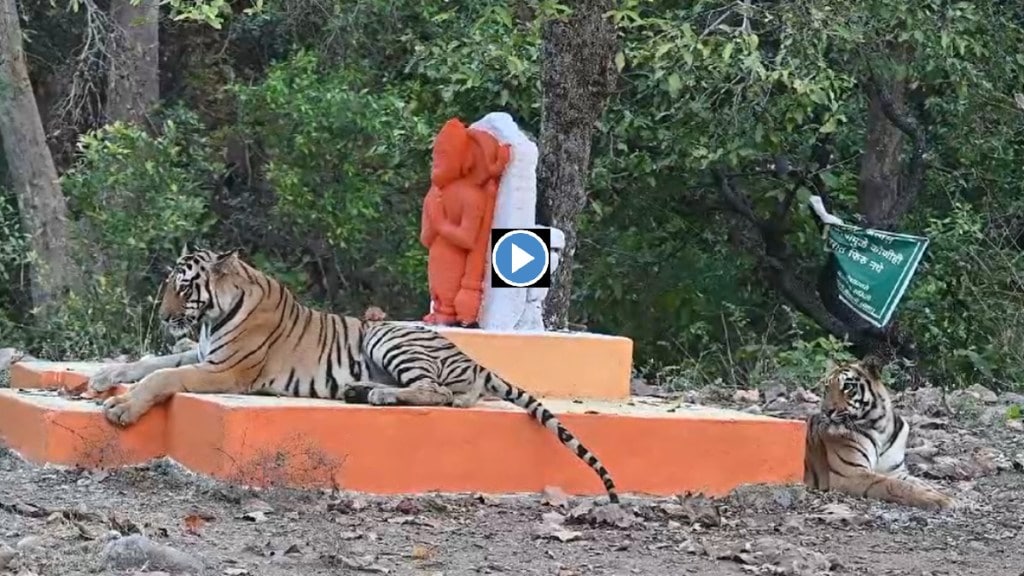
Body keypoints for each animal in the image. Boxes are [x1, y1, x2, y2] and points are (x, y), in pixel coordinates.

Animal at [88, 247, 618, 502]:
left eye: (182, 288)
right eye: (167, 286)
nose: (162, 316)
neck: (213, 315)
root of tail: (473, 358)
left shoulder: (226, 371)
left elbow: (161, 379)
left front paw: (120, 408)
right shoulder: (200, 355)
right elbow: (151, 363)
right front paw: (103, 377)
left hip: (387, 336)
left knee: (441, 393)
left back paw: (379, 397)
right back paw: (362, 391)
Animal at [802, 356, 954, 508]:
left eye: (847, 387)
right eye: (827, 387)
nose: (825, 411)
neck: (881, 428)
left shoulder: (894, 471)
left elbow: (920, 482)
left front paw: (943, 494)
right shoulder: (851, 473)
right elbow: (896, 485)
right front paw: (940, 499)